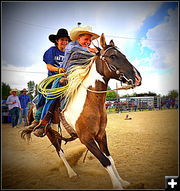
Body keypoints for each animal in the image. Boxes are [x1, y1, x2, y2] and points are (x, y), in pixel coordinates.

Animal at [21, 33, 142, 189]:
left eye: (124, 55)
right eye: (113, 56)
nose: (138, 78)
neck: (89, 102)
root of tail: (33, 104)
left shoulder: (101, 135)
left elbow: (110, 159)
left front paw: (122, 181)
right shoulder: (86, 139)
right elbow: (105, 161)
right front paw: (117, 185)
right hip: (49, 133)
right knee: (59, 152)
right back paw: (72, 173)